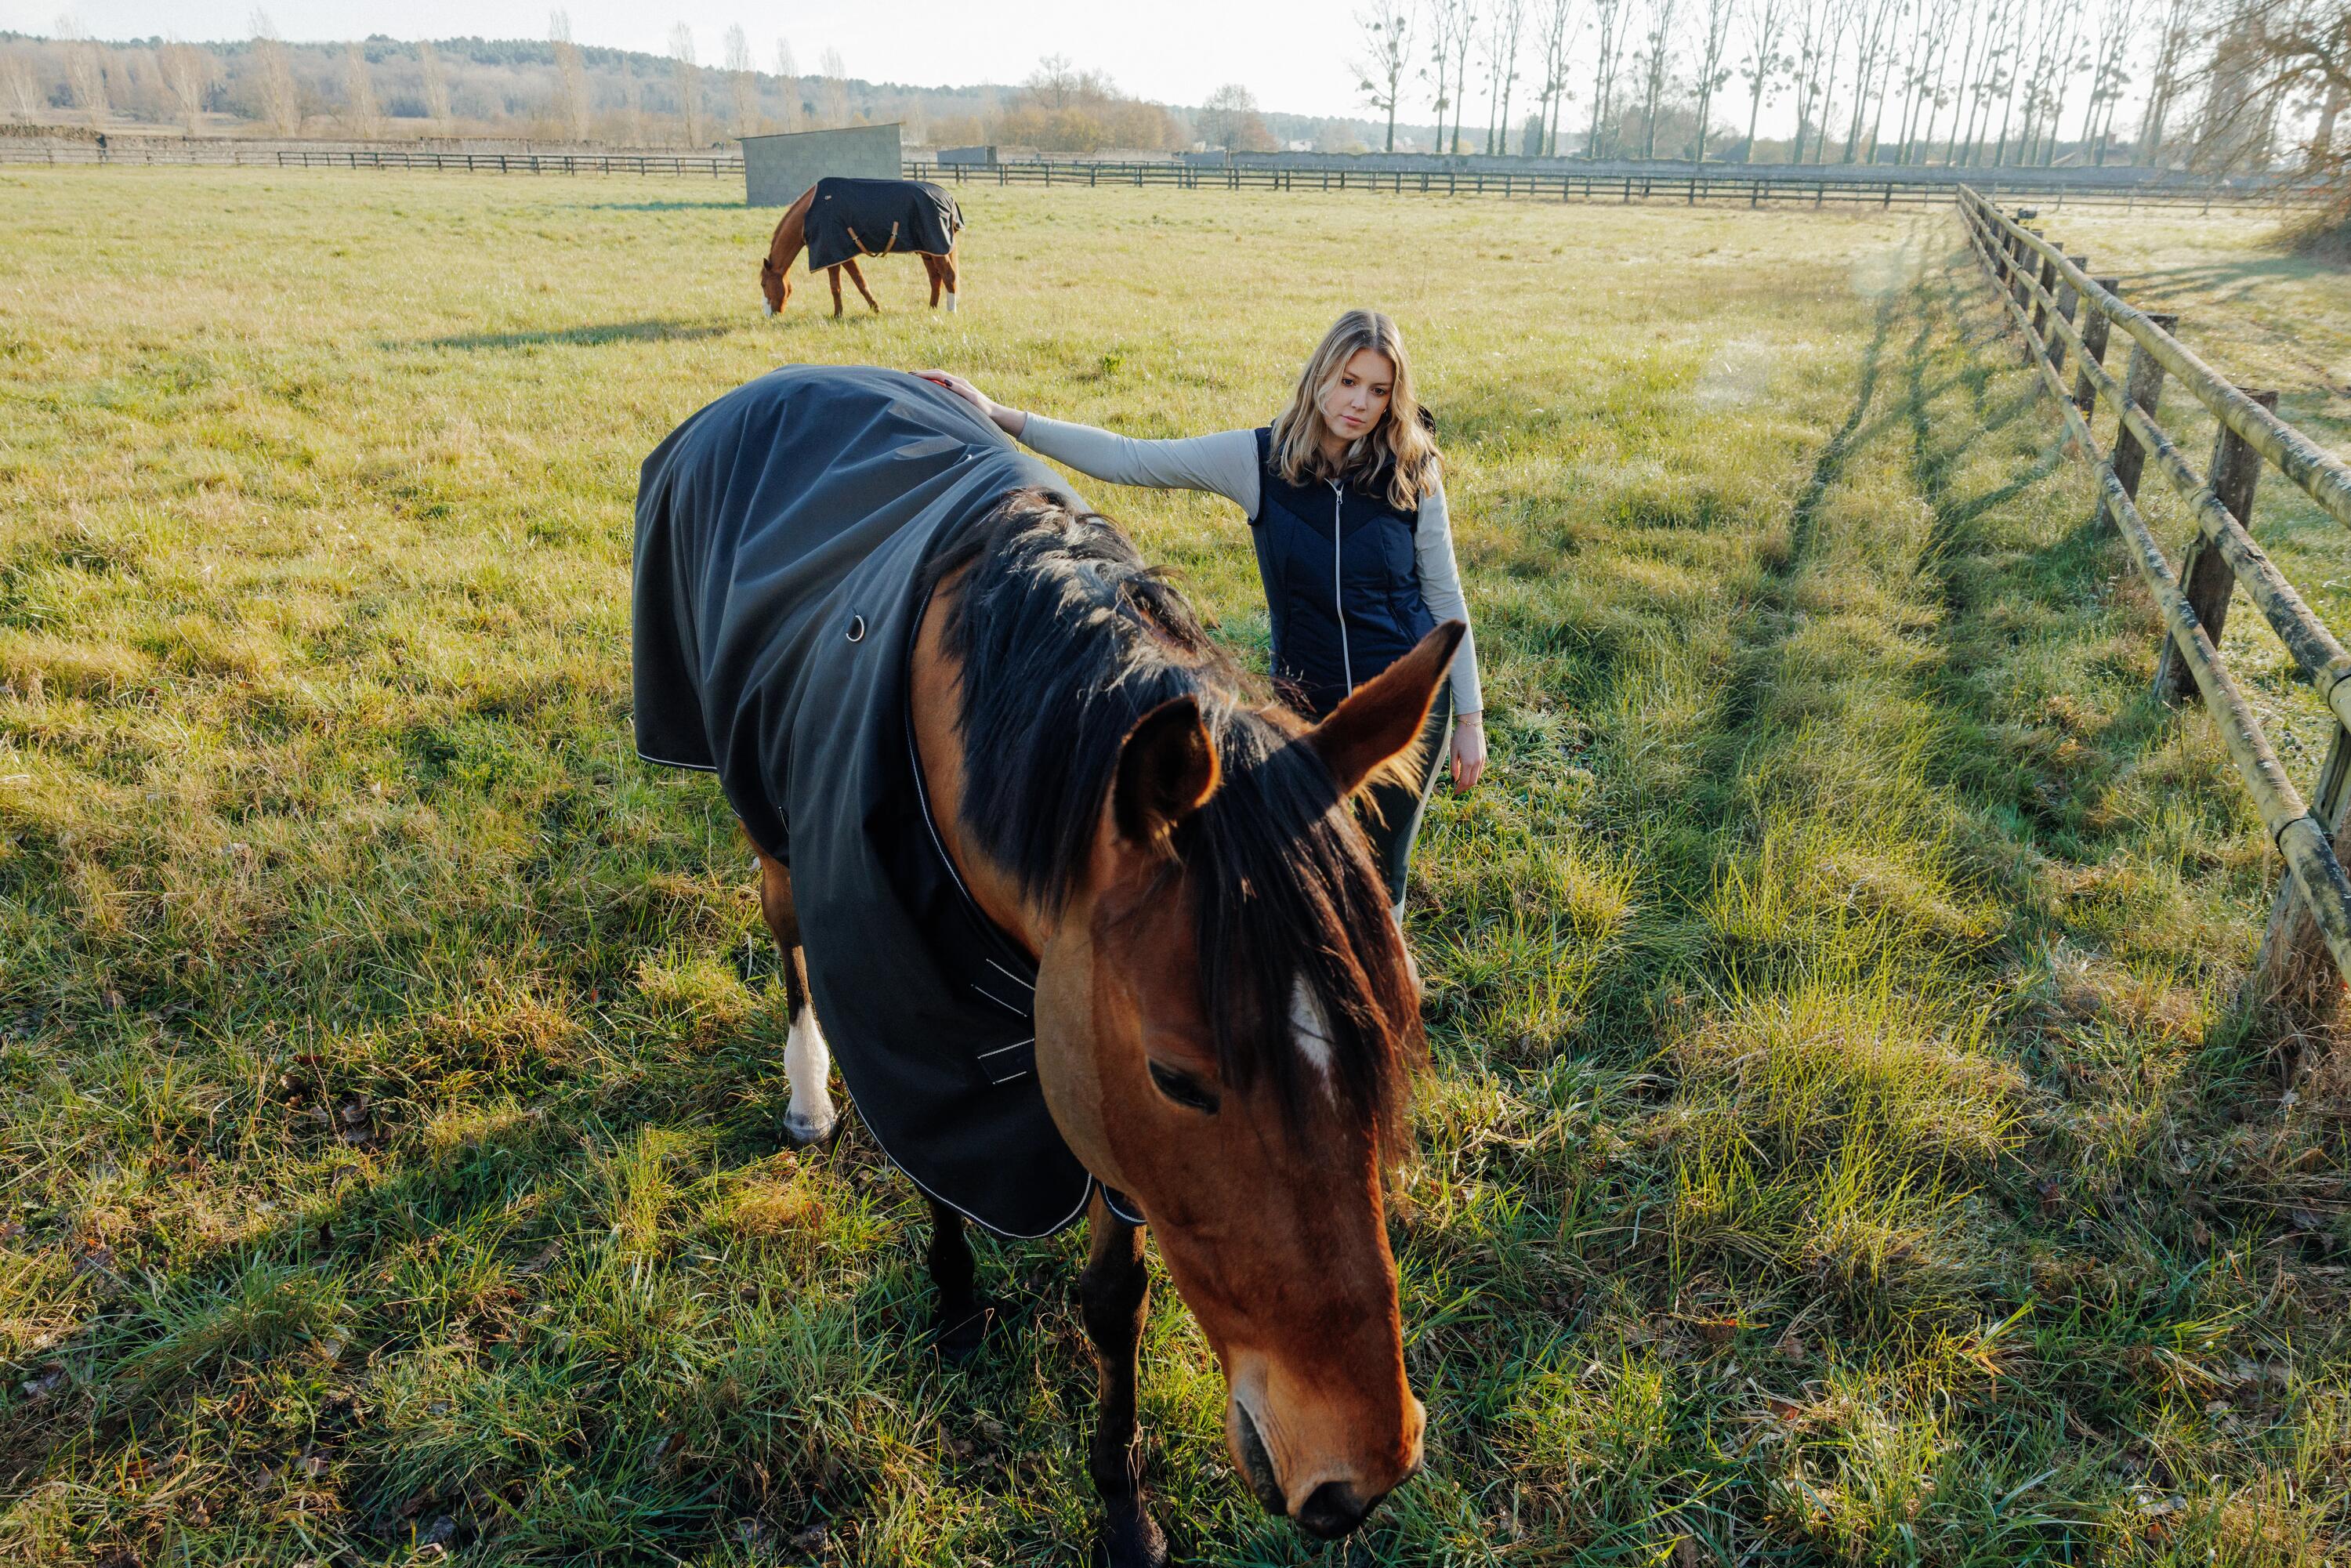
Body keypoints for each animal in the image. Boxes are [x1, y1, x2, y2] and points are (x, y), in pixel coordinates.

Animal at [632, 367, 1455, 1565]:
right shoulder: (921, 1013)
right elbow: (936, 1158)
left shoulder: (1085, 1056)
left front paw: (1122, 1502)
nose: (1362, 1470)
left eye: (1387, 1033)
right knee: (785, 936)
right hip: (765, 815)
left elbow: (1117, 1299)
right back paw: (807, 1096)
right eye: (1180, 1078)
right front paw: (954, 1305)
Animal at [757, 176, 963, 319]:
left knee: (949, 276)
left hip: (937, 249)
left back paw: (951, 312)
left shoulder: (834, 253)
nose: (769, 315)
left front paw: (840, 315)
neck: (809, 214)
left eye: (763, 284)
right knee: (935, 278)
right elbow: (855, 283)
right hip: (928, 250)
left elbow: (841, 286)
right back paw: (931, 308)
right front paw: (871, 309)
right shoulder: (841, 255)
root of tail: (949, 198)